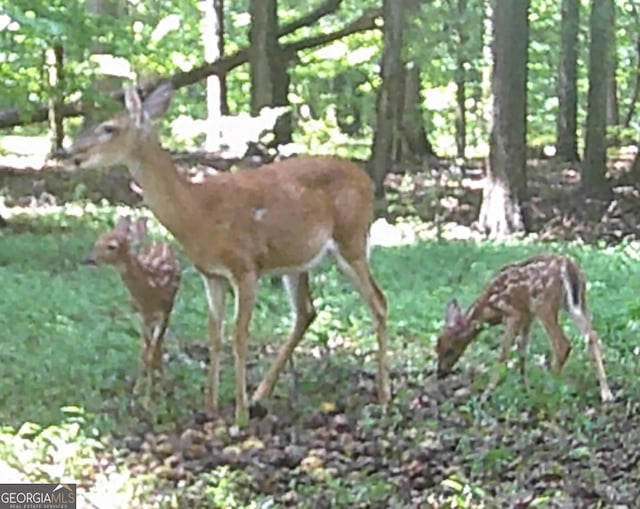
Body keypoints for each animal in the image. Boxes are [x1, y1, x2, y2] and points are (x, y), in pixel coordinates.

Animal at [84, 212, 180, 402]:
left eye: (112, 246)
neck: (150, 289)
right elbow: (145, 352)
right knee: (146, 348)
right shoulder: (141, 314)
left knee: (157, 347)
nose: (89, 259)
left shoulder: (165, 310)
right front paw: (141, 392)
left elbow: (153, 352)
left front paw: (149, 399)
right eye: (98, 240)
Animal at [438, 252, 612, 402]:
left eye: (449, 350)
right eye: (436, 349)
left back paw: (548, 390)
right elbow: (523, 350)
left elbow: (503, 354)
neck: (489, 308)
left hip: (543, 303)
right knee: (592, 336)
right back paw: (606, 394)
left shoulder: (514, 314)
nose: (440, 373)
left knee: (562, 344)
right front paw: (524, 387)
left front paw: (486, 394)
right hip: (576, 302)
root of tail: (568, 265)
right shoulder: (528, 316)